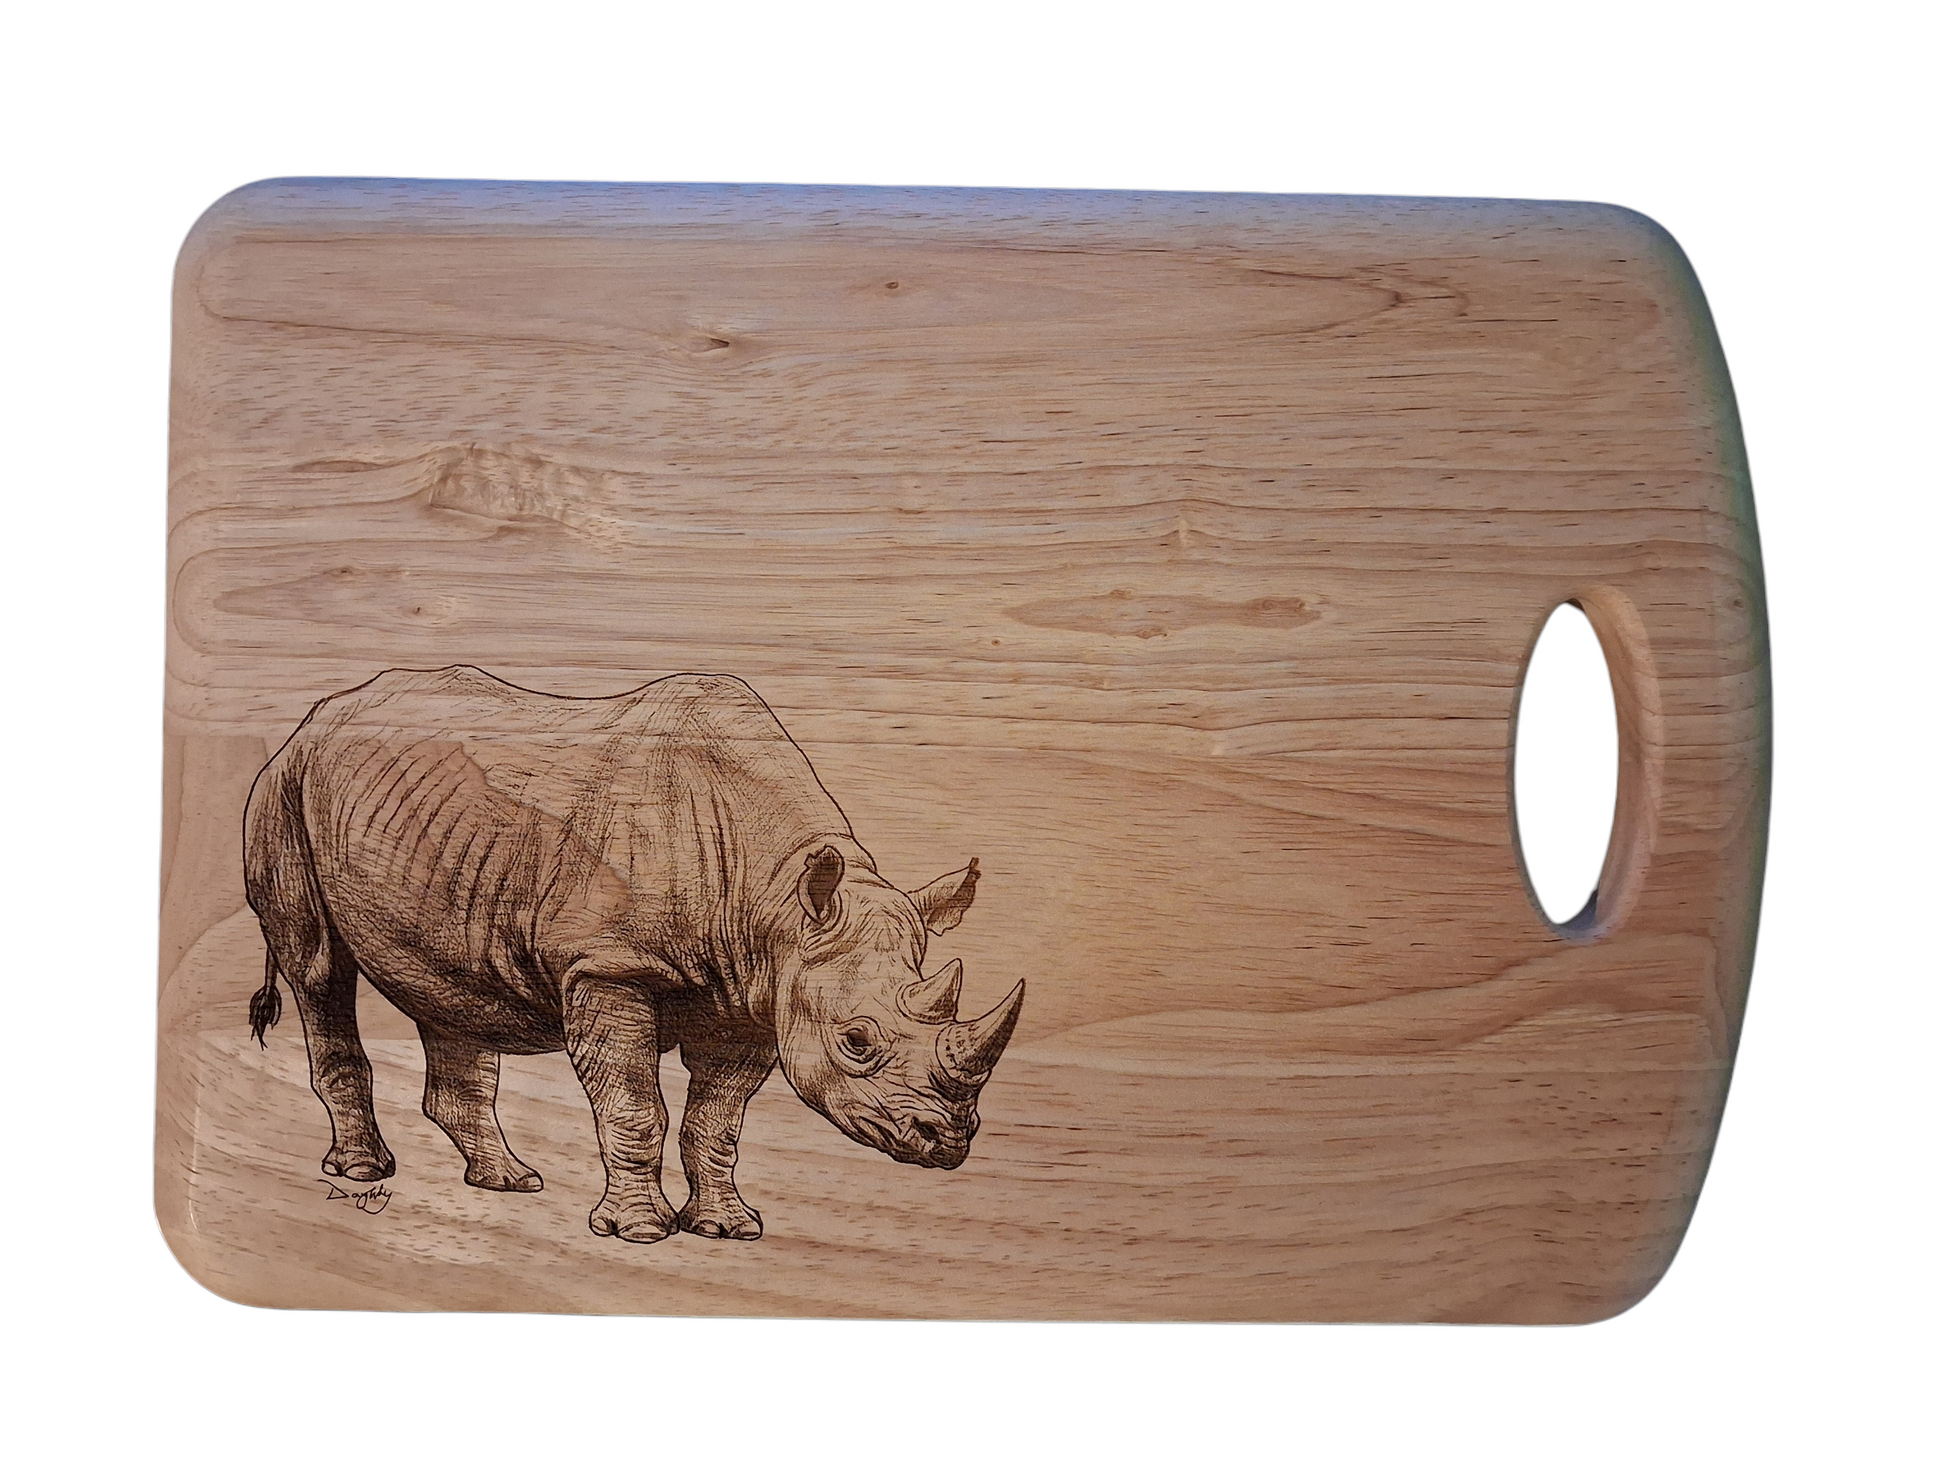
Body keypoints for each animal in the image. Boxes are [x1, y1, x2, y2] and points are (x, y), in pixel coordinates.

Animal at [242, 666, 1024, 1242]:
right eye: (856, 1042)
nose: (949, 1141)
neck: (777, 897)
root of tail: (312, 719)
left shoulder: (758, 995)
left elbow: (717, 1122)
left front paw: (726, 1228)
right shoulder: (609, 965)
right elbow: (634, 1106)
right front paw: (638, 1233)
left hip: (436, 843)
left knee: (449, 991)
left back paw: (508, 1182)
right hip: (282, 791)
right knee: (318, 969)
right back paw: (364, 1174)